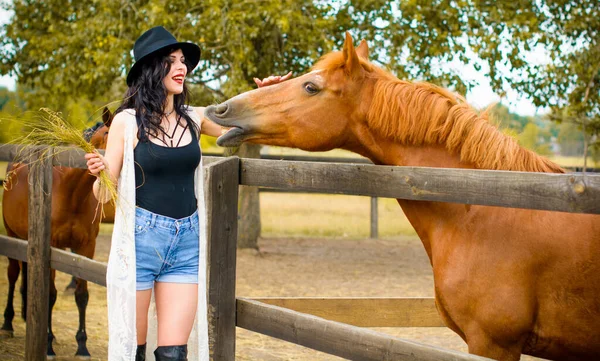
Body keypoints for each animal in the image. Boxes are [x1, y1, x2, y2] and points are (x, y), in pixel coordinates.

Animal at [0, 109, 112, 358]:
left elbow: (82, 295)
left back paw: (26, 315)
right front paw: (48, 344)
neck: (72, 193)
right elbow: (50, 295)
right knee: (13, 274)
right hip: (12, 235)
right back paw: (8, 323)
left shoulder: (86, 247)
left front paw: (82, 346)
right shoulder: (54, 247)